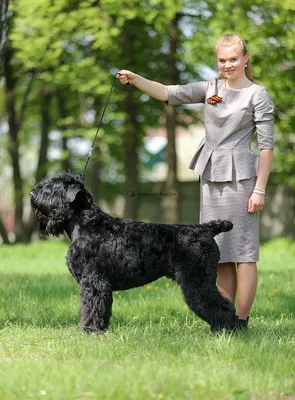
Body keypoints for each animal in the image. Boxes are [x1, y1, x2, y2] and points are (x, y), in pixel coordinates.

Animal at [30, 173, 238, 332]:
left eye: (50, 187)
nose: (32, 193)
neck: (86, 223)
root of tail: (206, 229)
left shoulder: (94, 281)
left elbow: (92, 307)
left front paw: (89, 330)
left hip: (197, 281)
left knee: (221, 304)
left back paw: (228, 330)